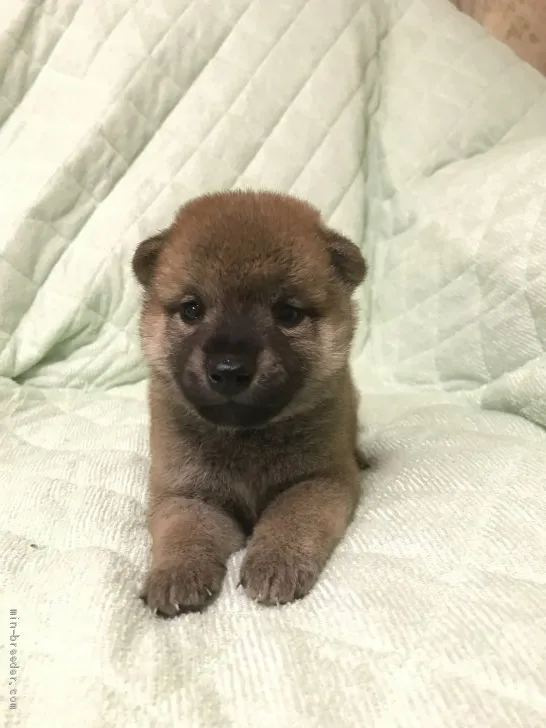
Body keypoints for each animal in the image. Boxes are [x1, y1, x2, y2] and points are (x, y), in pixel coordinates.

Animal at [132, 189, 366, 616]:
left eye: (287, 313)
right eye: (192, 308)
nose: (229, 369)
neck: (245, 439)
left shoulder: (321, 480)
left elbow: (292, 516)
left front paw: (276, 563)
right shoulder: (186, 492)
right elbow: (183, 530)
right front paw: (175, 574)